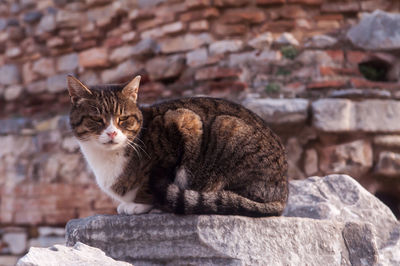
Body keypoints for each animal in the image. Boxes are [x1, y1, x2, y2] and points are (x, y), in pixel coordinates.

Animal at [68, 75, 288, 216]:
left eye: (123, 119)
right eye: (97, 120)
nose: (112, 132)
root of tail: (283, 196)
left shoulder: (185, 121)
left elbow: (151, 183)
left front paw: (138, 205)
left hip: (227, 127)